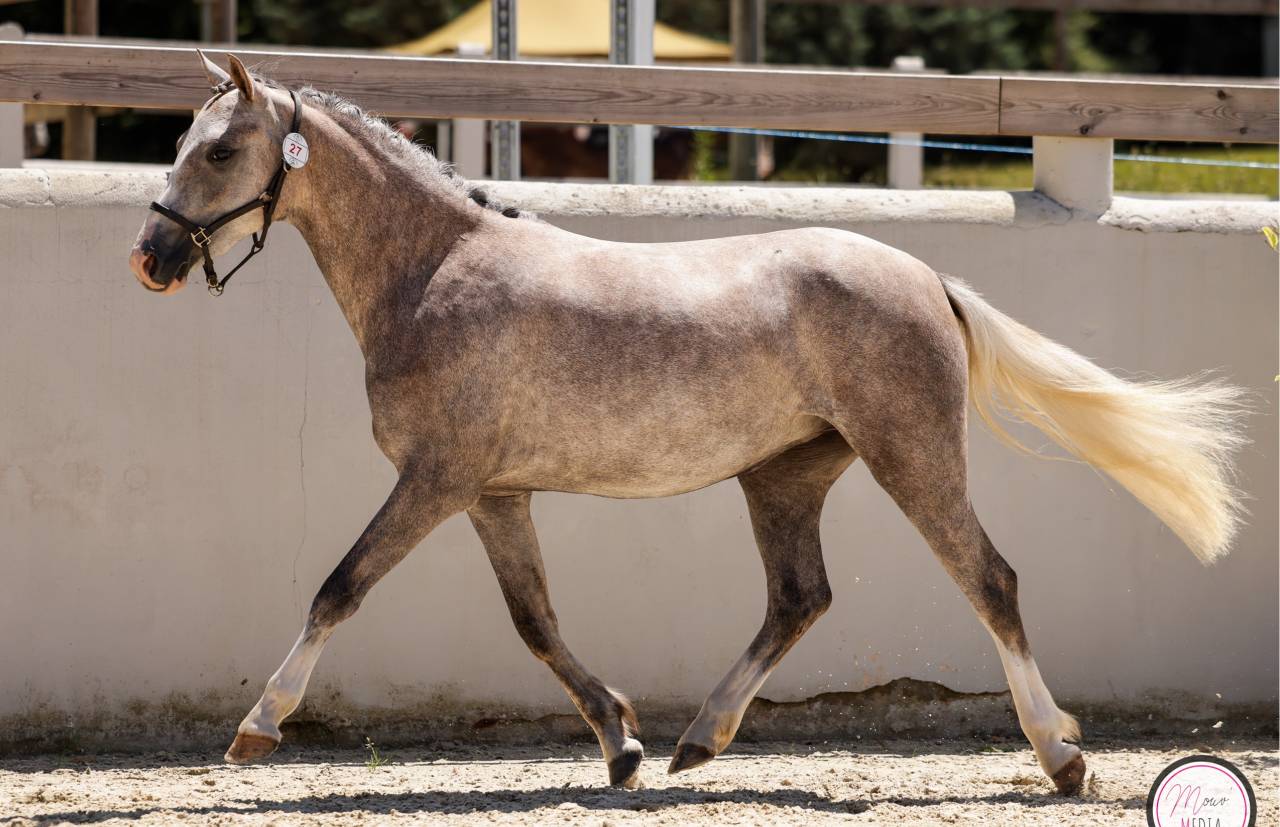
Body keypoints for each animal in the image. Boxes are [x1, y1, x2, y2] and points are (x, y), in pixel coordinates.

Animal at [128, 51, 1245, 795]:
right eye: (181, 143)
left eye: (221, 148)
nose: (151, 257)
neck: (435, 270)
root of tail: (927, 278)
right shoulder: (493, 492)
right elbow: (535, 622)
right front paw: (620, 742)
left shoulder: (435, 481)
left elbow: (338, 588)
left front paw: (255, 727)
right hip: (784, 475)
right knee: (799, 597)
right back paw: (695, 738)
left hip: (911, 455)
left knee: (989, 579)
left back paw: (1062, 755)